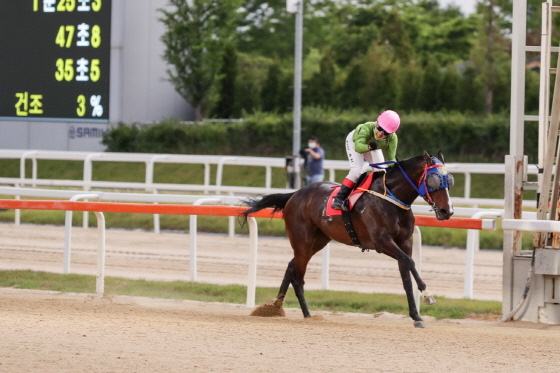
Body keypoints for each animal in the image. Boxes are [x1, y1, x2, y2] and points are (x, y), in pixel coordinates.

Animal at [241, 150, 456, 326]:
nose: (447, 211)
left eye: (450, 180)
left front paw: (416, 316)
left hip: (318, 240)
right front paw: (427, 295)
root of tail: (295, 194)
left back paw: (274, 307)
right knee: (298, 277)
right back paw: (306, 314)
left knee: (291, 266)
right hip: (302, 239)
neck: (391, 197)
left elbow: (406, 276)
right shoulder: (382, 242)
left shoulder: (404, 242)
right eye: (434, 179)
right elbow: (410, 262)